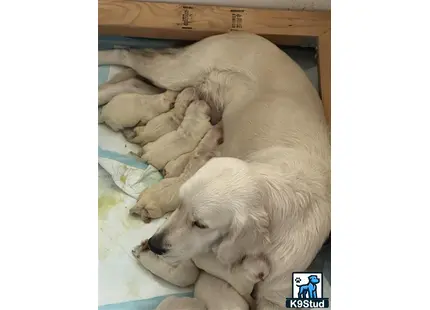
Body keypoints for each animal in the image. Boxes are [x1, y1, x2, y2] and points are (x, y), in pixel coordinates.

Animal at [99, 32, 330, 310]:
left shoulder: (278, 290)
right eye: (180, 205)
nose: (154, 244)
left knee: (135, 80)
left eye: (200, 224)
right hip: (176, 71)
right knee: (126, 53)